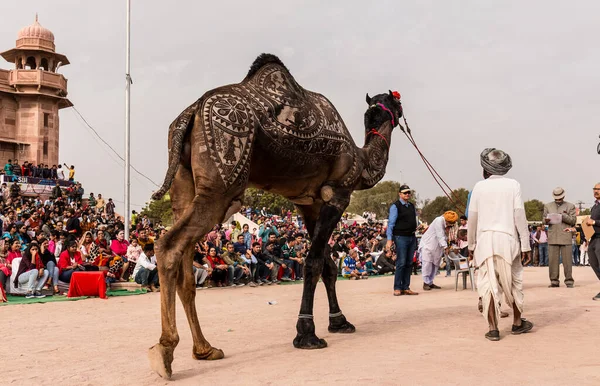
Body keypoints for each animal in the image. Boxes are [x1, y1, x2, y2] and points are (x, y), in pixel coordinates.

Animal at [149, 52, 404, 378]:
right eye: (395, 103)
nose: (400, 111)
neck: (361, 160)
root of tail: (189, 115)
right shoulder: (338, 194)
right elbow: (313, 262)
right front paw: (307, 334)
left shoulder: (309, 202)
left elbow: (327, 266)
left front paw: (339, 321)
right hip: (220, 185)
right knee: (168, 245)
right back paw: (165, 351)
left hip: (184, 185)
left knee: (185, 268)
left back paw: (205, 349)